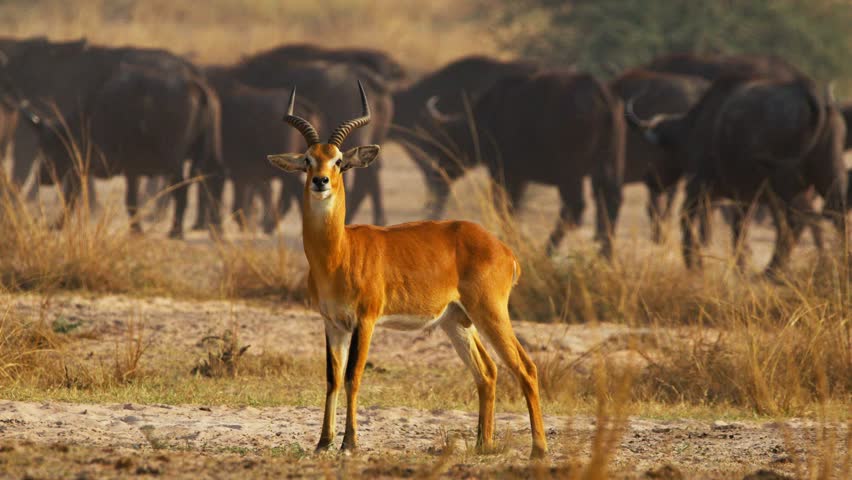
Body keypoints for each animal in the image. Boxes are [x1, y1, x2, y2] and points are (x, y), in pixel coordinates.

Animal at [426, 69, 625, 257]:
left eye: (443, 142)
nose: (437, 175)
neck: (487, 118)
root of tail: (597, 90)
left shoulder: (502, 171)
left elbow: (503, 206)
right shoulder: (520, 177)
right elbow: (512, 208)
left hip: (570, 173)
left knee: (574, 208)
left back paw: (548, 250)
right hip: (608, 166)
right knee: (610, 203)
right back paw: (606, 255)